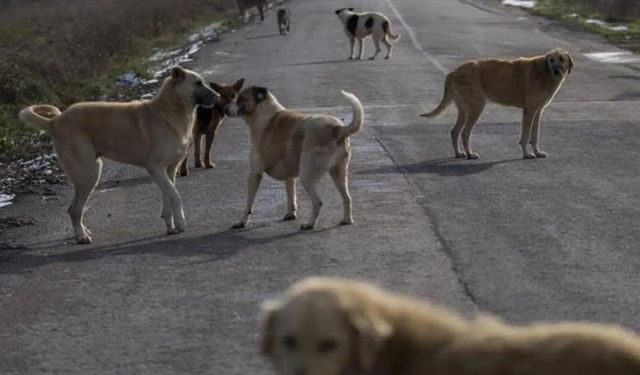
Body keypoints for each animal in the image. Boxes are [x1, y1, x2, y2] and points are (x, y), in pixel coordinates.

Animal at [18, 66, 219, 245]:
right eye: (198, 83)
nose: (218, 97)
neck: (169, 111)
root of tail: (55, 122)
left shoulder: (169, 170)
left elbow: (168, 196)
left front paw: (171, 226)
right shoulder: (155, 167)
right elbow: (175, 196)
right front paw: (181, 223)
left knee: (74, 209)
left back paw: (83, 231)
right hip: (89, 174)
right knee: (74, 210)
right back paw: (81, 237)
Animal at [225, 87, 364, 231]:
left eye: (241, 99)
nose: (224, 109)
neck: (262, 111)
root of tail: (337, 128)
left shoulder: (255, 173)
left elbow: (249, 203)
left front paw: (242, 222)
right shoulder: (289, 175)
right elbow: (291, 195)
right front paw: (291, 214)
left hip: (307, 175)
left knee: (318, 202)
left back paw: (309, 224)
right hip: (339, 173)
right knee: (347, 198)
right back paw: (347, 220)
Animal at [420, 48, 576, 159]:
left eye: (561, 59)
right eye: (551, 60)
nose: (556, 71)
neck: (544, 72)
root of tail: (454, 72)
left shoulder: (537, 111)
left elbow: (534, 135)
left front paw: (537, 152)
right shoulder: (530, 111)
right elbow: (526, 135)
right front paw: (526, 154)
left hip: (464, 110)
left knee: (455, 131)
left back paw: (459, 153)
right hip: (476, 108)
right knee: (464, 132)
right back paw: (470, 154)